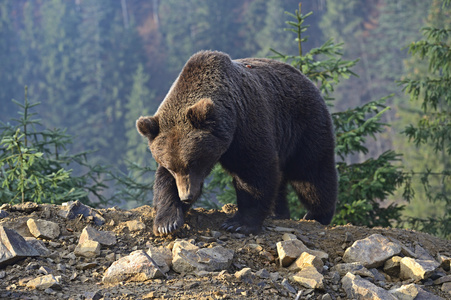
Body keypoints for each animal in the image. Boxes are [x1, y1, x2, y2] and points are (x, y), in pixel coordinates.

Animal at [138, 50, 340, 236]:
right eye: (172, 167)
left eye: (194, 162)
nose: (187, 196)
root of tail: (305, 78)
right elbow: (164, 181)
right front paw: (167, 222)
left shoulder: (246, 125)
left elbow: (254, 171)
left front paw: (238, 223)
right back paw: (278, 213)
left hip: (303, 125)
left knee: (311, 172)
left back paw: (317, 214)